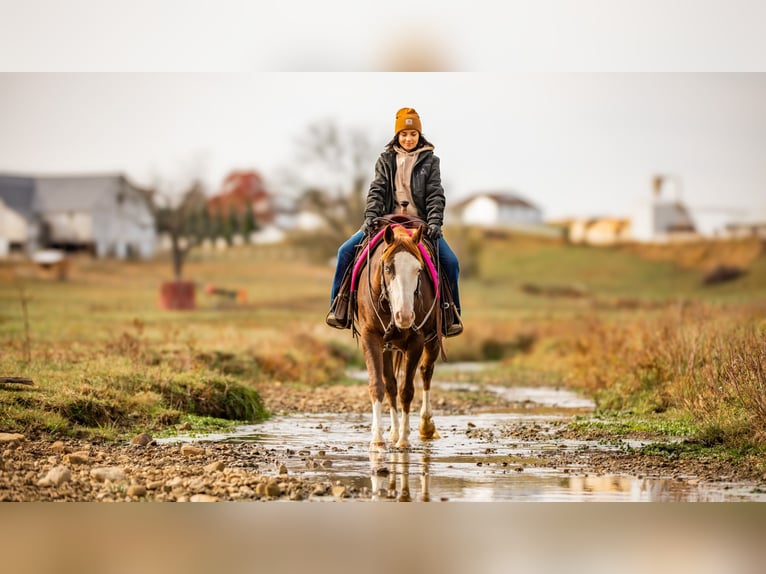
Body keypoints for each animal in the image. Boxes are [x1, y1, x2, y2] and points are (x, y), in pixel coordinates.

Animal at [356, 223, 444, 452]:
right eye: (388, 268)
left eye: (419, 270)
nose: (404, 316)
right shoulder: (370, 338)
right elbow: (378, 385)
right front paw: (378, 439)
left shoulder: (416, 341)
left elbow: (407, 390)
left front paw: (404, 440)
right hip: (387, 348)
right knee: (390, 385)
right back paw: (393, 431)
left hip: (432, 342)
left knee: (426, 372)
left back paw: (425, 426)